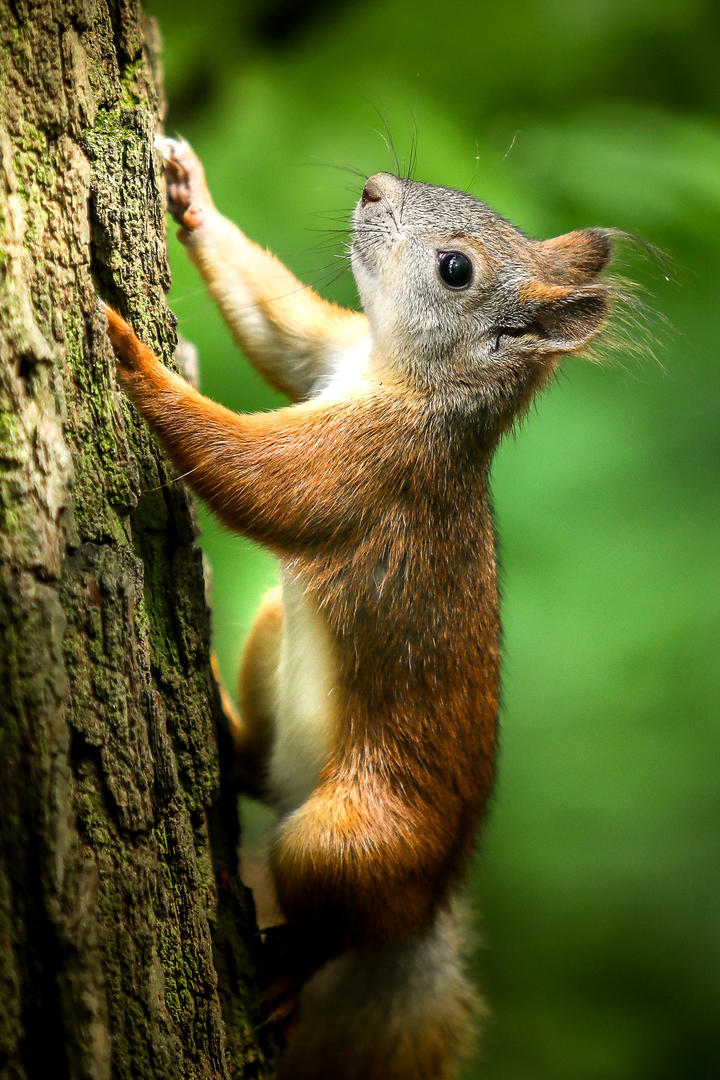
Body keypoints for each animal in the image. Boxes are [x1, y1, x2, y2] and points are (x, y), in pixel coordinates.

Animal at [101, 137, 626, 1080]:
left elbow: (251, 476)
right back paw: (226, 733)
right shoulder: (331, 354)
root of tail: (421, 915)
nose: (375, 188)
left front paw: (133, 357)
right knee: (258, 769)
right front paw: (188, 192)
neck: (398, 373)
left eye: (456, 269)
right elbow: (282, 330)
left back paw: (289, 973)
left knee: (336, 924)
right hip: (272, 640)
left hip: (349, 841)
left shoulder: (375, 466)